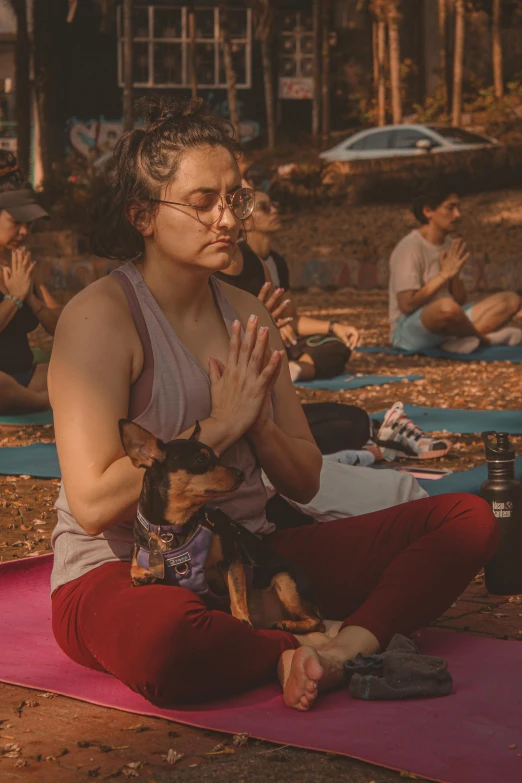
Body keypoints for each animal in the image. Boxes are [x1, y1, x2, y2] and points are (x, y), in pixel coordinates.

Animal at [119, 420, 320, 632]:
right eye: (200, 459)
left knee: (317, 621)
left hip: (286, 581)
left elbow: (237, 593)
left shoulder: (232, 559)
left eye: (217, 457)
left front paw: (241, 619)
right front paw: (140, 573)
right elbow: (135, 557)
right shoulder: (141, 544)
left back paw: (289, 624)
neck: (173, 529)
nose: (241, 474)